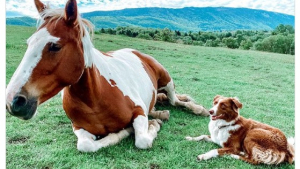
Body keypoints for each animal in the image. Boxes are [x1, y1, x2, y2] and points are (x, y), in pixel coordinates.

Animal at [6, 0, 209, 152]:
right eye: (29, 43)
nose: (13, 102)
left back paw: (198, 109)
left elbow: (142, 140)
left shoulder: (139, 111)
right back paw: (161, 113)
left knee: (174, 100)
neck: (96, 98)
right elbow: (86, 145)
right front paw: (126, 131)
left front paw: (151, 126)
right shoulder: (78, 127)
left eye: (55, 46)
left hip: (166, 78)